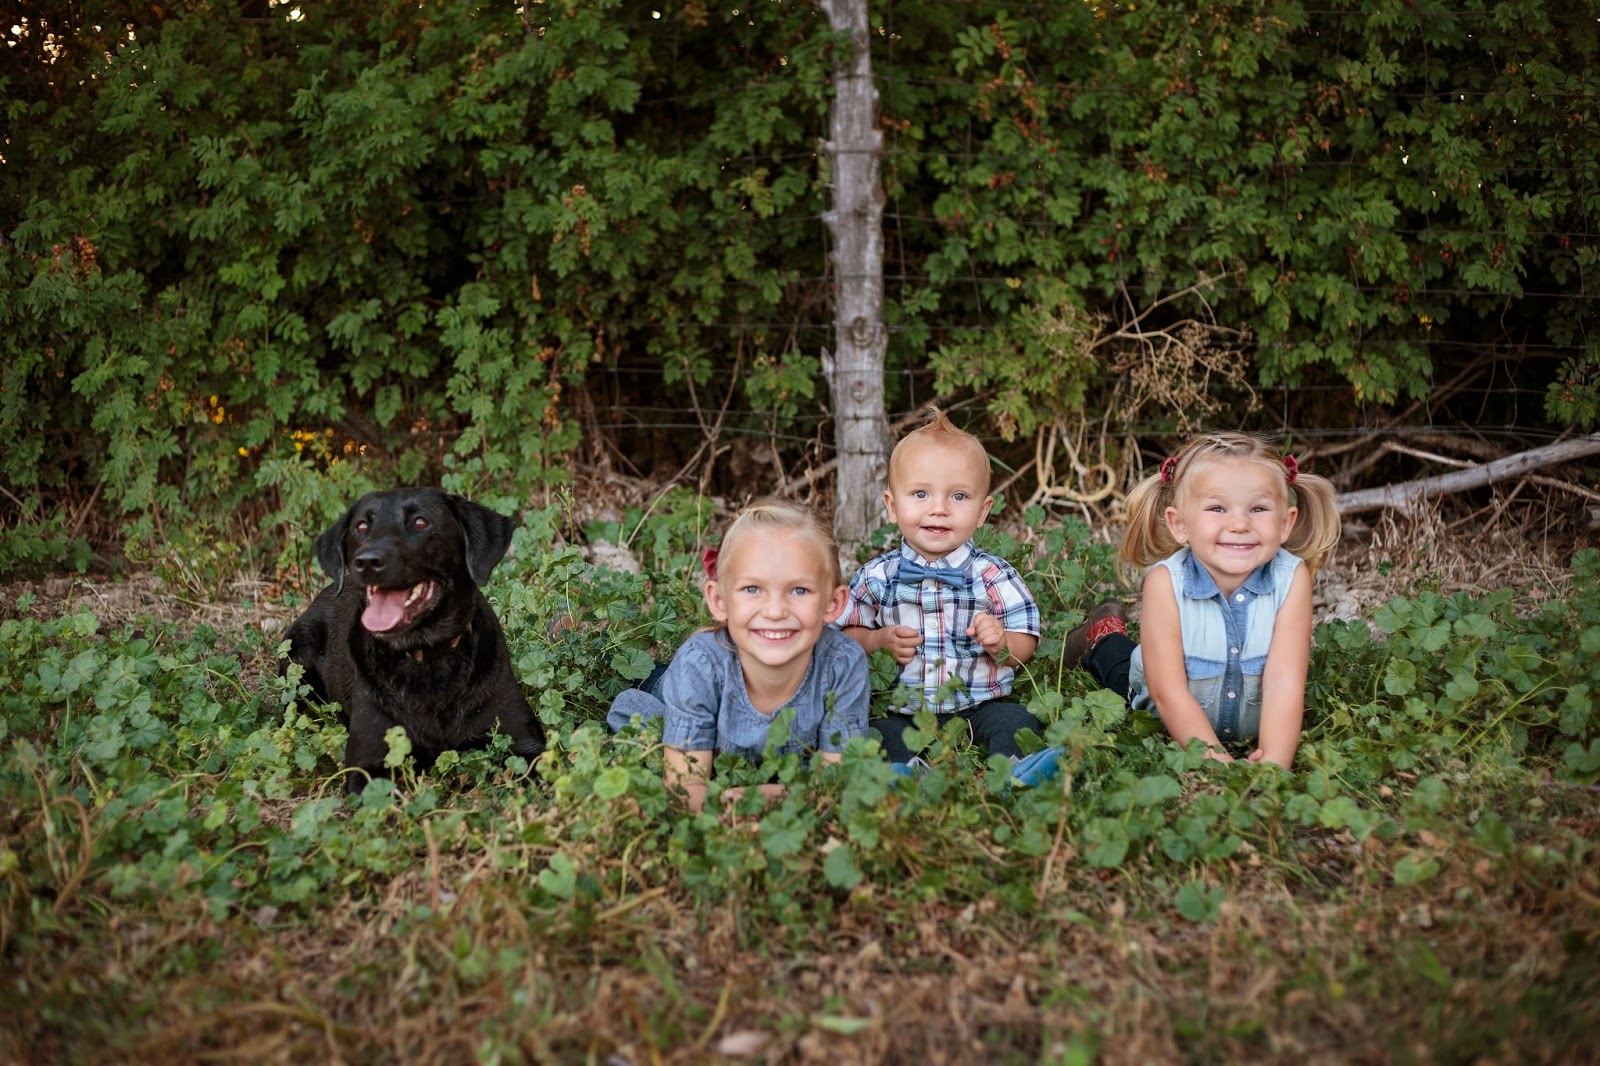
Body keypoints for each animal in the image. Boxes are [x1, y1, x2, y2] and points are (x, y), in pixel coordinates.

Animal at [283, 488, 546, 791]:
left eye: (421, 522)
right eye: (361, 526)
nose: (367, 561)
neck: (425, 657)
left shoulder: (524, 743)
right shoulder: (369, 764)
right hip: (296, 654)